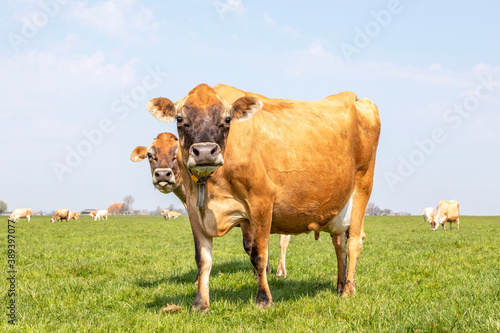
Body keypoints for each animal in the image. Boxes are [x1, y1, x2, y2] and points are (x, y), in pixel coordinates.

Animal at [146, 83, 380, 312]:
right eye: (179, 119)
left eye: (227, 119)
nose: (205, 152)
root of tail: (353, 97)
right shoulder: (195, 211)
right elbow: (202, 259)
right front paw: (200, 304)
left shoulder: (261, 202)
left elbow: (258, 253)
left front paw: (264, 299)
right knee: (339, 242)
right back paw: (340, 285)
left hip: (362, 184)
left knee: (354, 241)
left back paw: (348, 291)